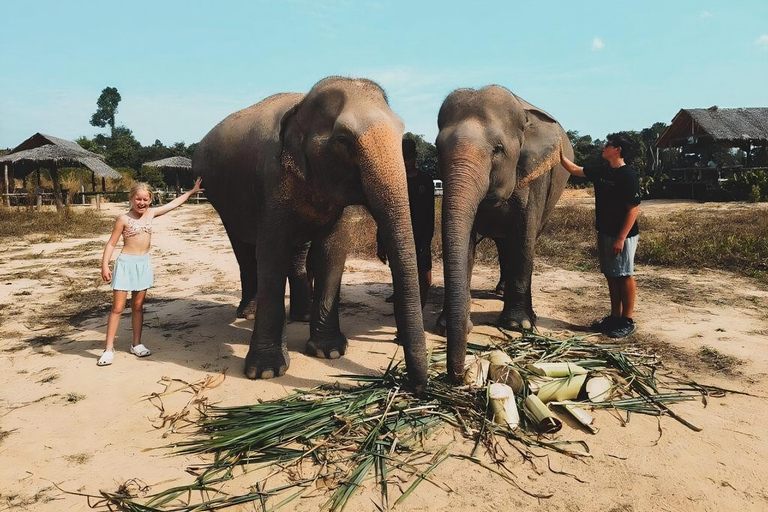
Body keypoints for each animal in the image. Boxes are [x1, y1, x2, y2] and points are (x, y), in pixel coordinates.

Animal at [195, 76, 428, 390]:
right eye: (343, 141)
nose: (416, 387)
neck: (302, 104)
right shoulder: (272, 181)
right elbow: (271, 253)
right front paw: (265, 371)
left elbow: (333, 252)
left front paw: (329, 352)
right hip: (221, 200)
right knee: (244, 251)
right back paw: (248, 312)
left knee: (295, 252)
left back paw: (301, 316)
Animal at [436, 85, 572, 380]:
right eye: (437, 148)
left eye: (498, 149)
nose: (456, 375)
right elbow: (466, 245)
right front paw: (448, 325)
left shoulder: (536, 176)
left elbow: (524, 238)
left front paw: (518, 325)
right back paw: (499, 290)